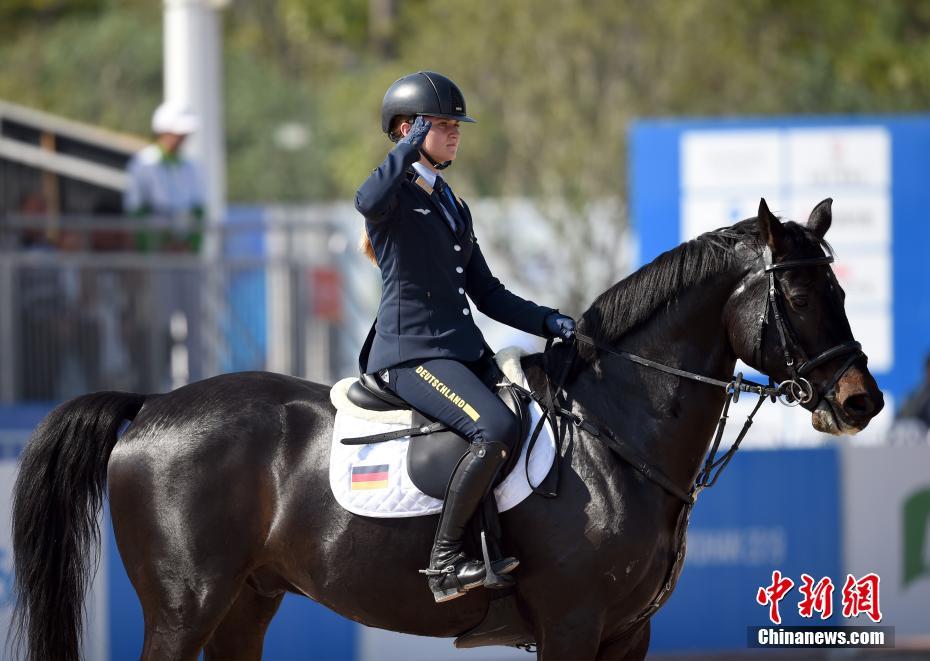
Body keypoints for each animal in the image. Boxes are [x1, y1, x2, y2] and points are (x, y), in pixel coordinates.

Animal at [11, 199, 883, 661]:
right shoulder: (573, 626)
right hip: (183, 607)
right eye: (798, 297)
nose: (861, 401)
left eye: (839, 288)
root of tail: (153, 405)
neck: (611, 439)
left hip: (245, 603)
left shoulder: (628, 633)